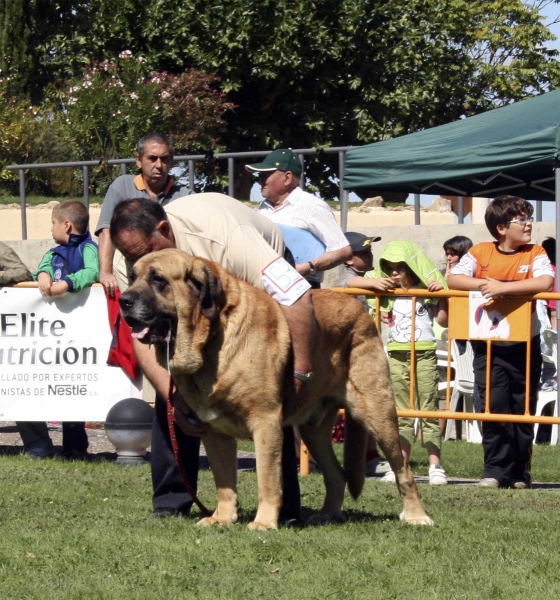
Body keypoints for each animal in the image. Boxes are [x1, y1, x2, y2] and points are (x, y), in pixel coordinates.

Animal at [119, 248, 434, 528]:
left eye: (158, 279)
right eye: (132, 276)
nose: (123, 300)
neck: (212, 339)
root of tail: (361, 309)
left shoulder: (265, 423)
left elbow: (268, 480)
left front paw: (264, 522)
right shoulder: (213, 431)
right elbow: (224, 481)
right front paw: (222, 518)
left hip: (378, 414)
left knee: (403, 469)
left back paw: (417, 516)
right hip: (314, 431)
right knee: (336, 474)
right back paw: (328, 515)